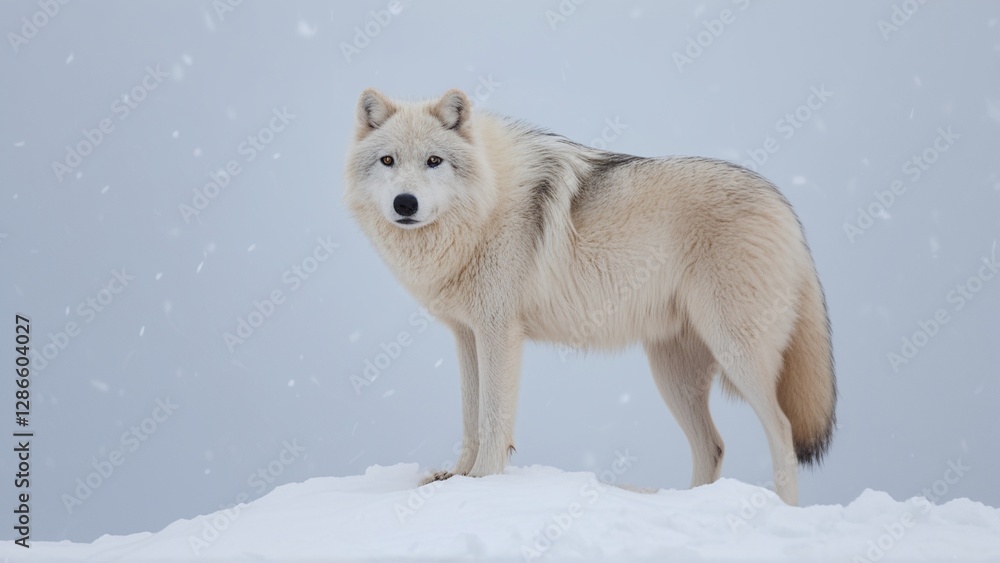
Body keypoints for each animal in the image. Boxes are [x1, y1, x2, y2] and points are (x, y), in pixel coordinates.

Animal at [344, 88, 836, 505]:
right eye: (388, 160)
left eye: (434, 160)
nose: (405, 203)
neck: (487, 205)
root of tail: (784, 207)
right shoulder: (468, 336)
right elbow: (470, 416)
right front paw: (457, 478)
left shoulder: (500, 333)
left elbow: (493, 417)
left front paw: (482, 481)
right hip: (673, 373)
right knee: (713, 445)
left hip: (737, 352)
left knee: (782, 432)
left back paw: (781, 509)